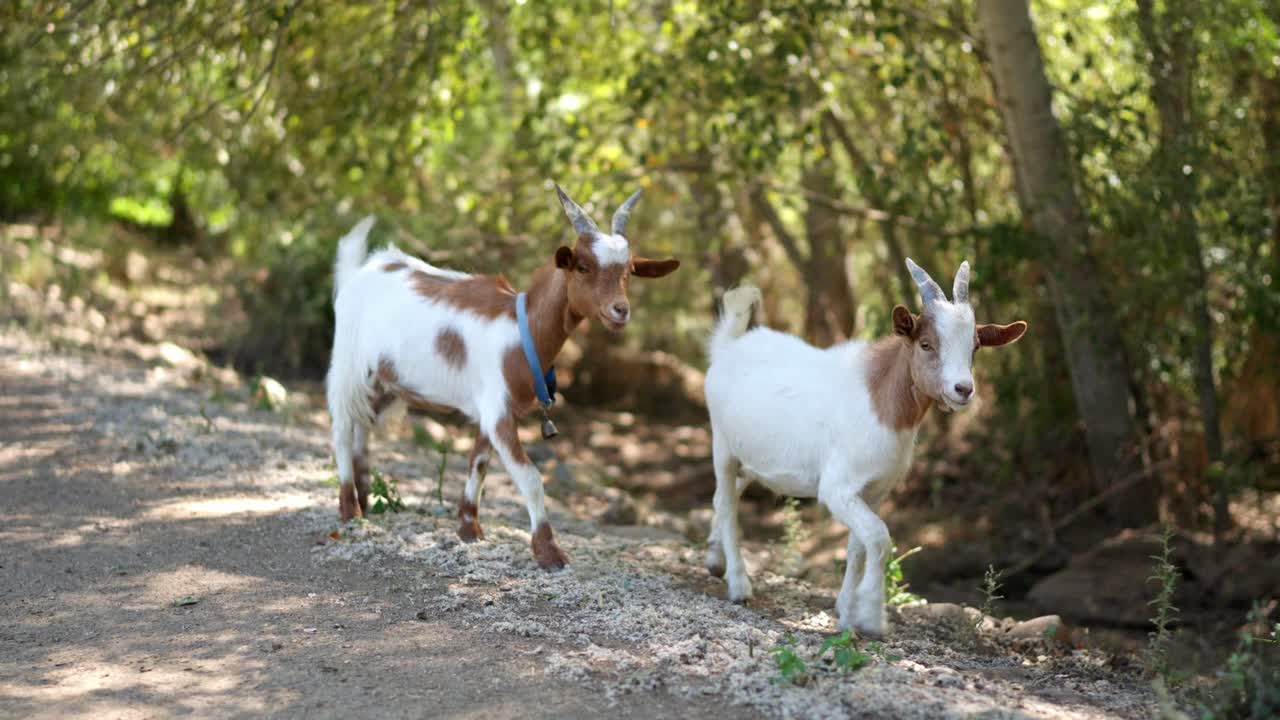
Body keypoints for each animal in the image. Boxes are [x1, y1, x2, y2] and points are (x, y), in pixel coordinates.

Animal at [326, 186, 680, 570]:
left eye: (629, 271)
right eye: (583, 266)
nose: (620, 310)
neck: (522, 331)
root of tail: (363, 269)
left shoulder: (492, 410)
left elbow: (478, 464)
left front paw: (469, 529)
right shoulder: (498, 413)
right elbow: (530, 477)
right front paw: (548, 551)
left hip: (384, 381)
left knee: (364, 425)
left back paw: (364, 500)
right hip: (346, 364)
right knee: (342, 428)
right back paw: (350, 510)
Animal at [701, 259, 1026, 635]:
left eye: (975, 346)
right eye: (926, 344)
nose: (963, 389)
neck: (881, 402)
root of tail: (728, 346)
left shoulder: (875, 490)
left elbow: (858, 547)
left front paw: (847, 612)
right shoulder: (837, 488)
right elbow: (879, 538)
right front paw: (871, 615)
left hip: (752, 460)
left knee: (725, 496)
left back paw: (713, 559)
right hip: (721, 445)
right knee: (728, 504)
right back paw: (739, 585)